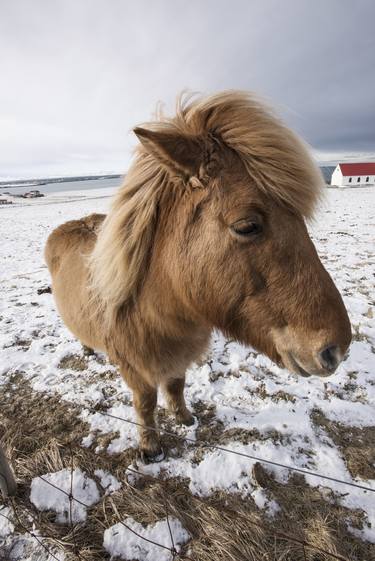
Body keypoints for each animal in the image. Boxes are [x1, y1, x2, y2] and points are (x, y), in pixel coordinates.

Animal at [45, 91, 354, 460]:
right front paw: (150, 447)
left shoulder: (179, 359)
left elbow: (176, 387)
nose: (336, 349)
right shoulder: (137, 370)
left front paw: (184, 419)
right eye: (247, 226)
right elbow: (145, 403)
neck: (157, 311)